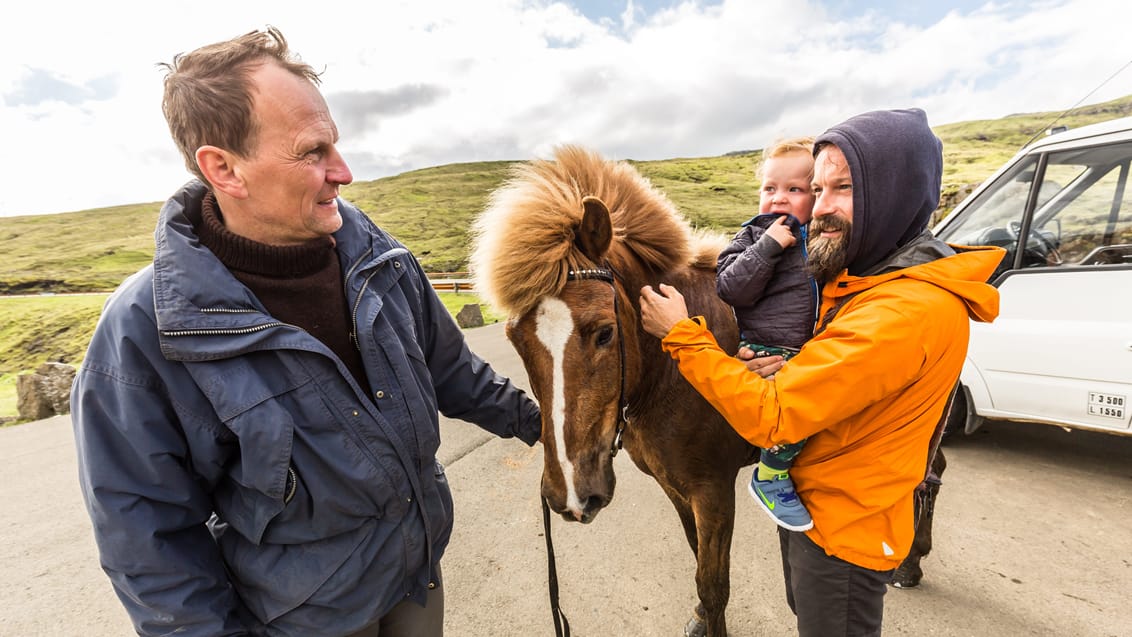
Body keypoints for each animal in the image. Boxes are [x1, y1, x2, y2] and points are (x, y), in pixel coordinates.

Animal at [468, 145, 946, 637]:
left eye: (604, 332)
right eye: (515, 340)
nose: (571, 495)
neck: (667, 375)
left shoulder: (712, 490)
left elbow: (713, 585)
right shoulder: (675, 486)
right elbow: (697, 557)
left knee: (926, 480)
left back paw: (909, 563)